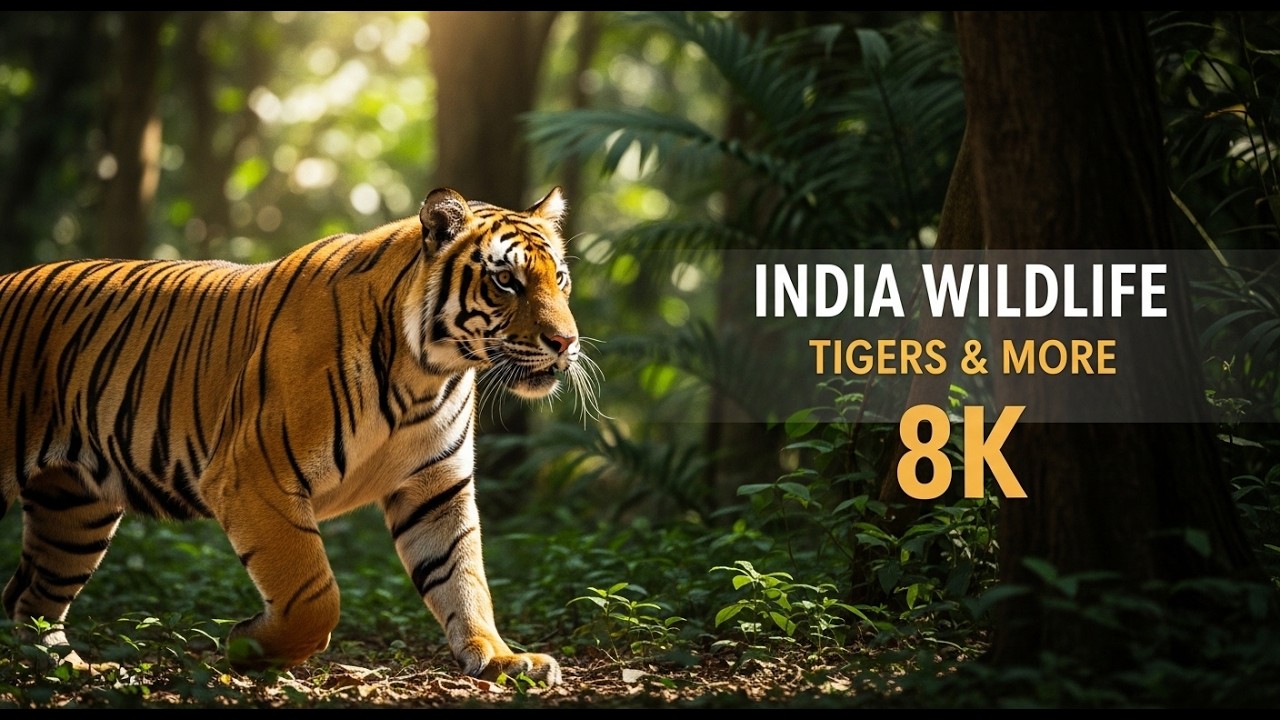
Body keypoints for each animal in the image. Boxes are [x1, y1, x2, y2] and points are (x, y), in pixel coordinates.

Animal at [0, 186, 597, 685]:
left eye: (560, 278)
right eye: (506, 281)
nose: (566, 342)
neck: (428, 372)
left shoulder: (436, 488)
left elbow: (464, 578)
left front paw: (500, 658)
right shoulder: (252, 476)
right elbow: (314, 595)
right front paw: (249, 646)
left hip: (75, 510)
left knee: (29, 599)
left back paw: (72, 671)